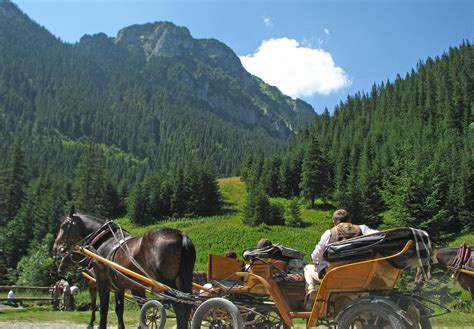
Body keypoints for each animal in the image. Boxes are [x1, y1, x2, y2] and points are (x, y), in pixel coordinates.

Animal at [53, 208, 196, 328]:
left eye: (63, 226)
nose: (55, 247)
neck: (105, 240)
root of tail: (181, 235)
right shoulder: (119, 286)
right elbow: (119, 309)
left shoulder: (101, 283)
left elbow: (102, 309)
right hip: (182, 281)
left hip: (167, 284)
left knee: (180, 308)